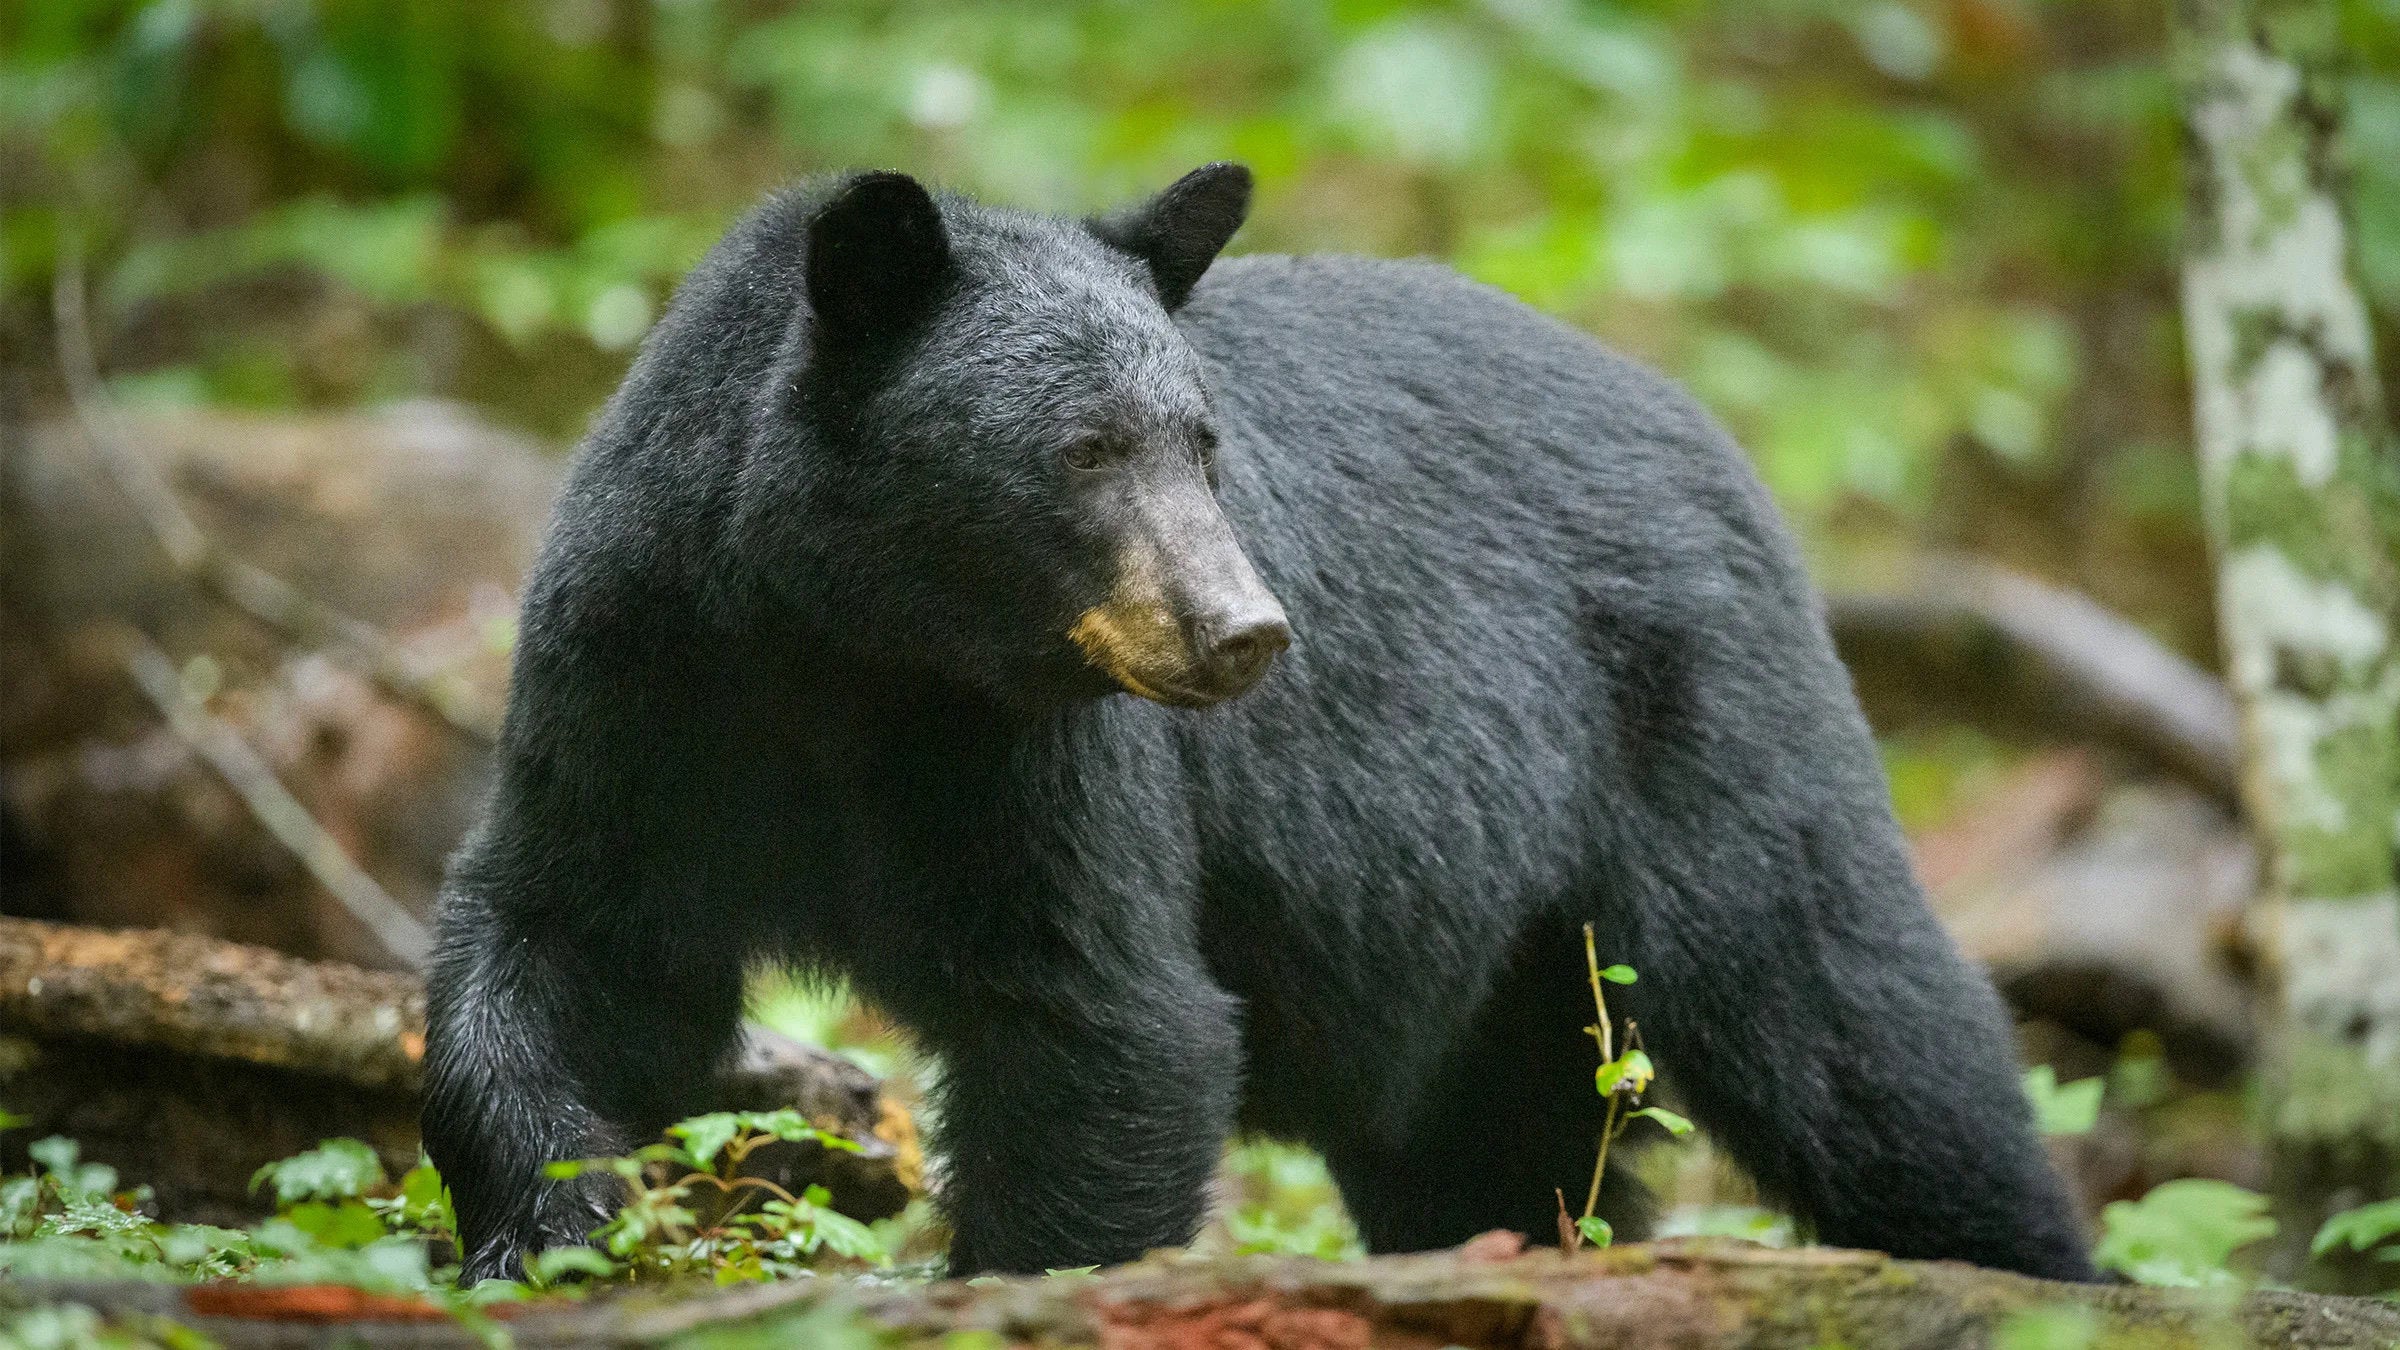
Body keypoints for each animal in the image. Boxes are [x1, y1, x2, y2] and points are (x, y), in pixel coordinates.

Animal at [422, 162, 2097, 1284]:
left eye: (1205, 442)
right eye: (1086, 447)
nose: (1247, 631)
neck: (851, 648)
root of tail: (1707, 426)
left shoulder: (1032, 757)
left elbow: (1107, 1022)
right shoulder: (644, 678)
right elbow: (574, 945)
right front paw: (549, 1229)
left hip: (1698, 720)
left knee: (1855, 1023)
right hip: (1493, 947)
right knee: (1496, 1139)